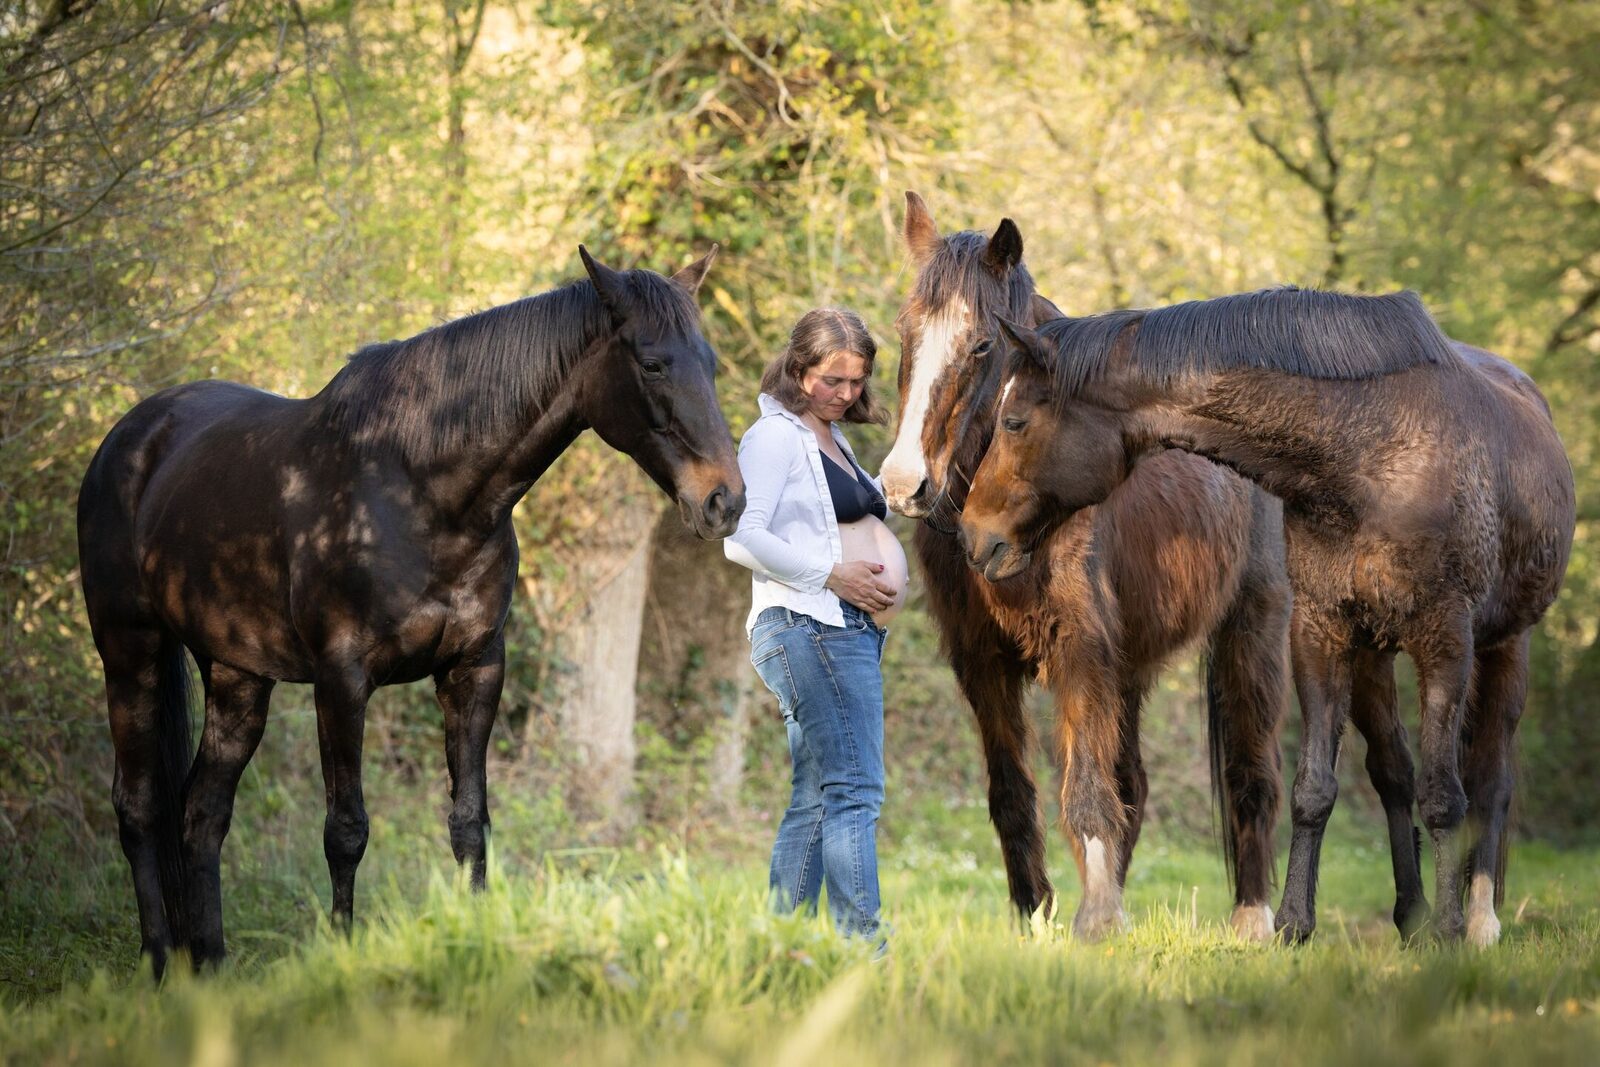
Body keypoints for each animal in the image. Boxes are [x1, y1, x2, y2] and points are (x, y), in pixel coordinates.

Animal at [77, 246, 745, 977]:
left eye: (710, 362)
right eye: (652, 364)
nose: (725, 501)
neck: (421, 489)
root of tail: (130, 436)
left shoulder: (474, 668)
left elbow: (470, 821)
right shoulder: (342, 680)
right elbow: (345, 830)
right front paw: (343, 955)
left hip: (237, 676)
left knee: (202, 813)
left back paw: (213, 968)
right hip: (130, 651)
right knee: (140, 807)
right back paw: (157, 964)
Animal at [879, 192, 1291, 940]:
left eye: (980, 345)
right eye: (906, 332)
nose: (903, 485)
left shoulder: (1078, 650)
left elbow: (1086, 788)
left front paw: (1095, 920)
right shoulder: (983, 663)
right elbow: (1014, 792)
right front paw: (1034, 915)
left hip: (1253, 631)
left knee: (1252, 775)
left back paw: (1251, 918)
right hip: (1131, 665)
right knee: (1135, 782)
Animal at [961, 290, 1575, 944]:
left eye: (1013, 421)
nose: (973, 534)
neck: (1370, 448)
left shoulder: (1445, 640)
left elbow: (1444, 796)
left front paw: (1449, 932)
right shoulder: (1320, 633)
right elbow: (1315, 788)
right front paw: (1294, 924)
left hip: (1506, 645)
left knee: (1489, 780)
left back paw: (1479, 919)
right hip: (1373, 654)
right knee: (1394, 770)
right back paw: (1410, 914)